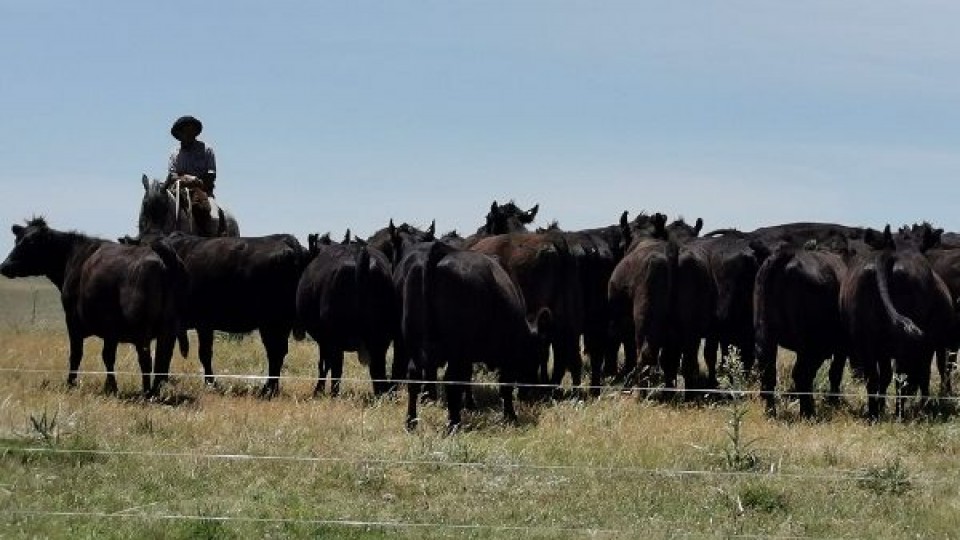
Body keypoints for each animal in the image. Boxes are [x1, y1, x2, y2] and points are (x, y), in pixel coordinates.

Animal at [0, 217, 186, 394]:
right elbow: (108, 356)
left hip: (142, 329)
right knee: (163, 359)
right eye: (17, 240)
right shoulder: (111, 329)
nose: (4, 266)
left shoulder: (74, 320)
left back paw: (146, 392)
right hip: (169, 329)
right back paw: (155, 391)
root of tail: (159, 254)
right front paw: (110, 387)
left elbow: (77, 354)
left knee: (146, 359)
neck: (73, 258)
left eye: (30, 243)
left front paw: (72, 384)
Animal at [159, 232, 306, 396]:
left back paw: (267, 390)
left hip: (272, 322)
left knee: (275, 352)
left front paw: (210, 384)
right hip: (280, 323)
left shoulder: (199, 323)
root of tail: (286, 239)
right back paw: (271, 389)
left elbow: (198, 353)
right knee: (278, 352)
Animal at [296, 238, 394, 394]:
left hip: (336, 335)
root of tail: (360, 254)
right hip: (381, 338)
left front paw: (319, 390)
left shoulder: (324, 339)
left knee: (336, 367)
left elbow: (324, 364)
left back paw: (333, 393)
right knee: (378, 369)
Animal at [402, 243, 548, 432]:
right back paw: (453, 424)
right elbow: (505, 386)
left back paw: (411, 422)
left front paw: (471, 405)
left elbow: (467, 378)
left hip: (414, 343)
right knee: (451, 381)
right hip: (455, 348)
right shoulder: (507, 353)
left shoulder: (468, 356)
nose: (532, 394)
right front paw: (510, 417)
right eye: (538, 355)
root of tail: (440, 250)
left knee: (414, 378)